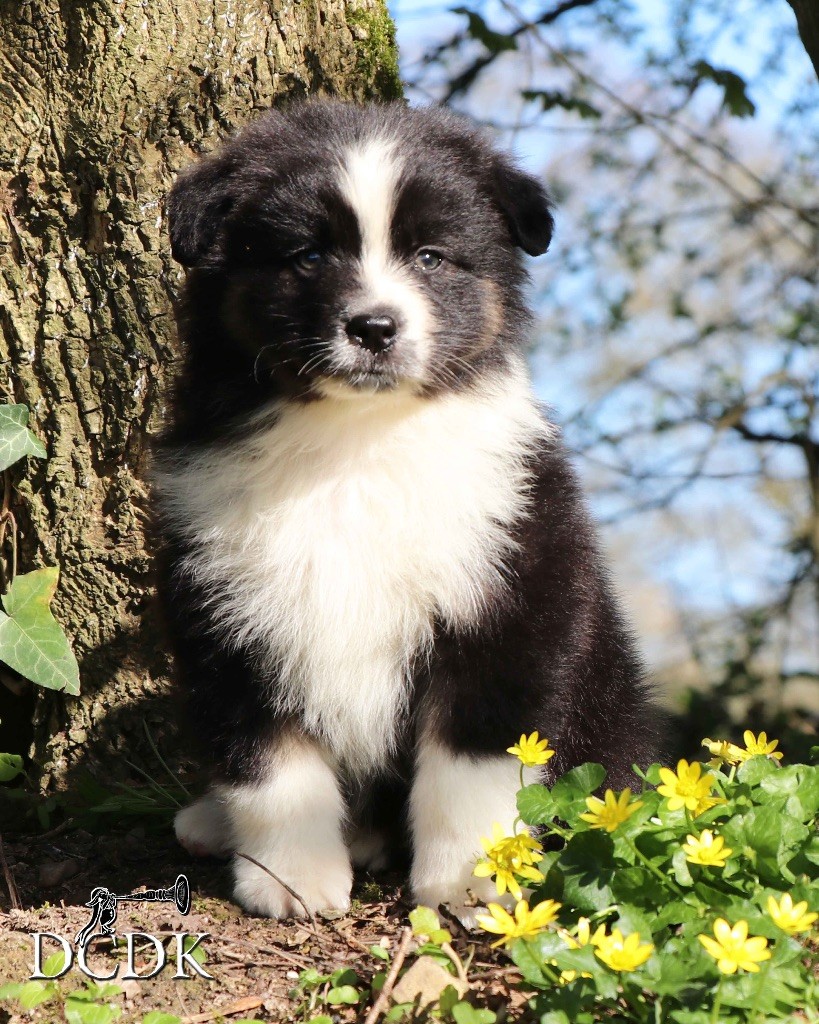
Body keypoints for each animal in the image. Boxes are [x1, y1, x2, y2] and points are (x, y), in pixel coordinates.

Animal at [153, 101, 657, 923]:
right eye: (306, 256)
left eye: (430, 256)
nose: (374, 327)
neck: (356, 442)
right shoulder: (226, 606)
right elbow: (269, 760)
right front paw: (291, 878)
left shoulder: (510, 592)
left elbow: (471, 760)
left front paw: (474, 879)